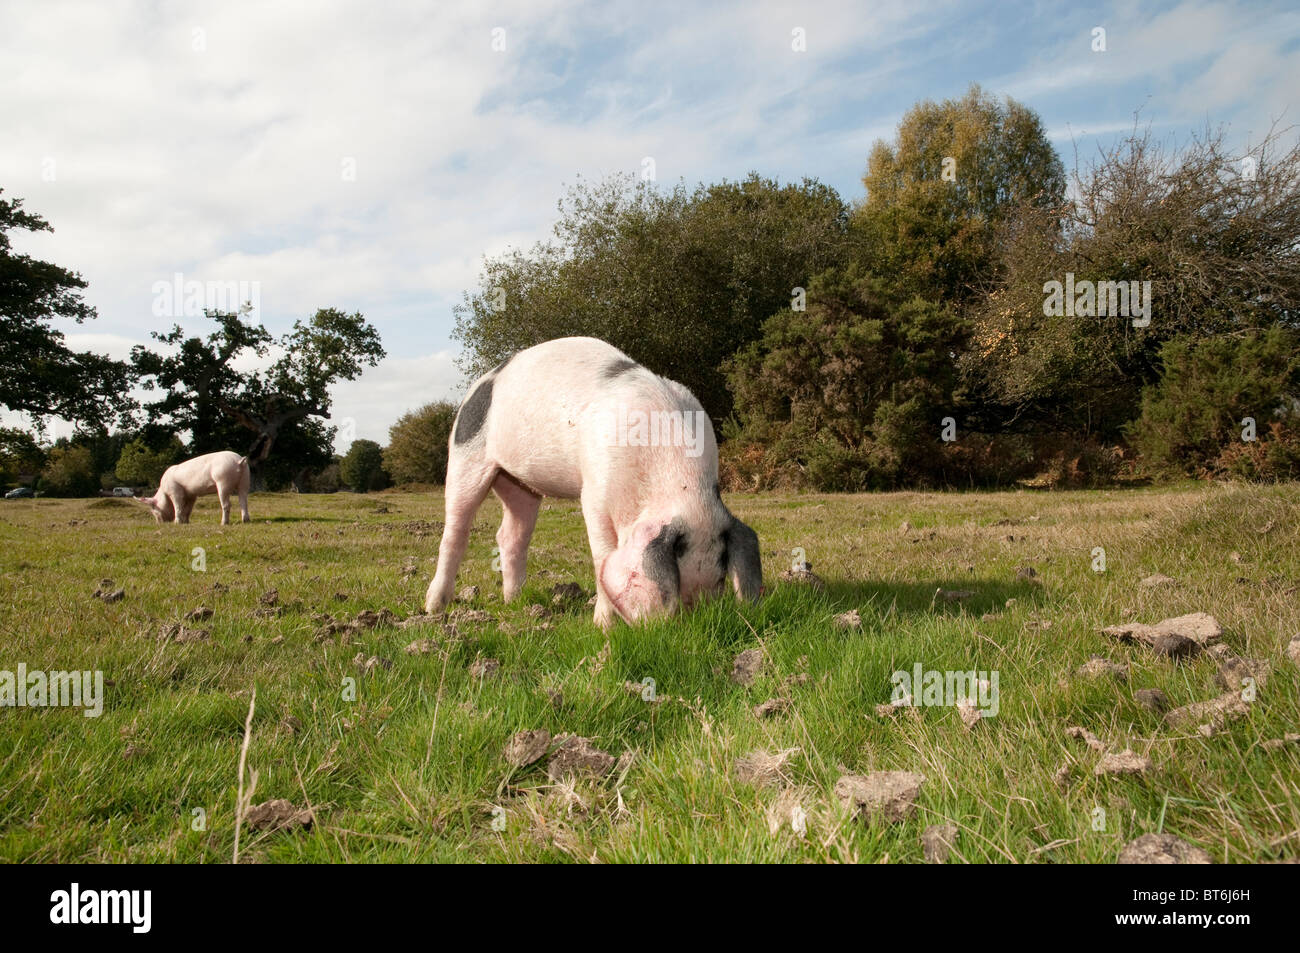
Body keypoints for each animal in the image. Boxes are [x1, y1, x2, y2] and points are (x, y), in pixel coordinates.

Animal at [426, 338, 759, 629]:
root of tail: (478, 386)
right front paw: (603, 626)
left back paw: (516, 602)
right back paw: (434, 607)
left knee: (510, 535)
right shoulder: (595, 492)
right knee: (455, 532)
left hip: (519, 486)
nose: (699, 616)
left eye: (720, 577)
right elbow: (602, 556)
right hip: (465, 457)